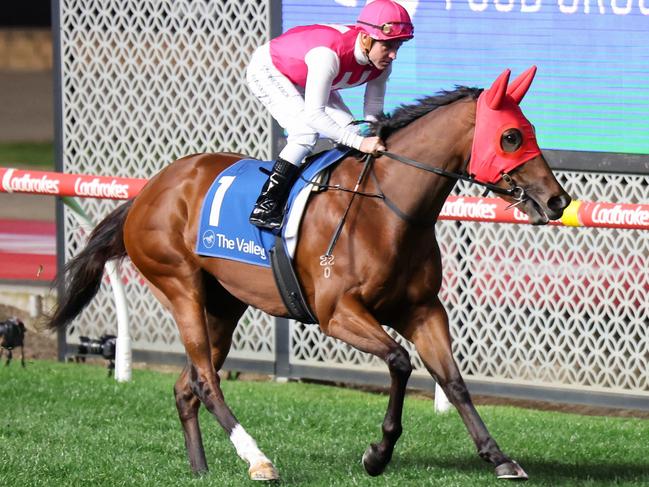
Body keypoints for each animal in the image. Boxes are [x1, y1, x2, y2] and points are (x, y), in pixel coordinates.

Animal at [46, 66, 568, 482]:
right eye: (511, 136)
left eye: (529, 130)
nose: (557, 200)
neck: (386, 212)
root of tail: (149, 190)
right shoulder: (337, 314)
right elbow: (399, 361)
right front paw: (378, 454)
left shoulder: (423, 310)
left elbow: (453, 381)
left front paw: (499, 458)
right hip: (180, 287)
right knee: (207, 382)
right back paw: (257, 461)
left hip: (224, 304)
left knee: (187, 386)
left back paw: (202, 469)